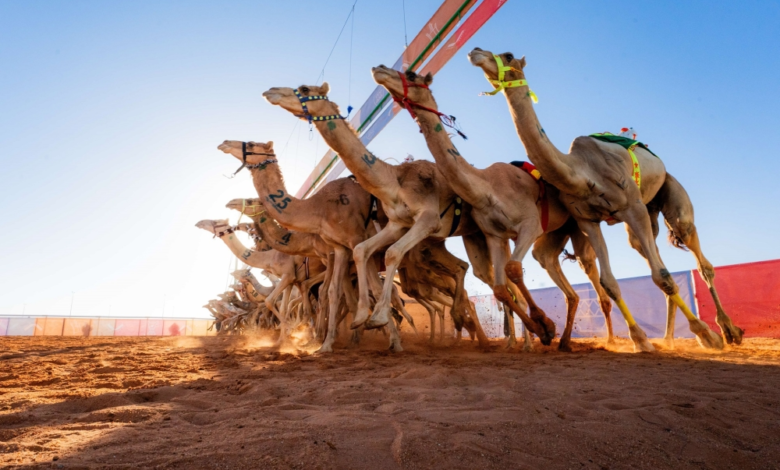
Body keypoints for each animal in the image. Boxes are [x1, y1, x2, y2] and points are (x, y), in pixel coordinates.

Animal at [263, 83, 499, 348]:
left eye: (304, 88)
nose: (271, 91)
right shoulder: (347, 248)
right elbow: (340, 283)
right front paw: (349, 329)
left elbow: (364, 279)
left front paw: (375, 326)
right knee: (467, 271)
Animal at [373, 65, 614, 351]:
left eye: (411, 75)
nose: (379, 69)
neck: (485, 188)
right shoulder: (495, 234)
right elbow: (501, 287)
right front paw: (542, 329)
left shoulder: (529, 224)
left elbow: (512, 270)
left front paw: (543, 326)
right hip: (555, 233)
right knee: (557, 273)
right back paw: (564, 340)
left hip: (577, 222)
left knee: (591, 269)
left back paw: (613, 338)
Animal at [468, 48, 737, 351]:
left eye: (508, 54)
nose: (476, 52)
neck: (582, 174)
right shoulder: (588, 220)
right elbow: (611, 281)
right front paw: (640, 339)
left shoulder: (630, 206)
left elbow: (661, 276)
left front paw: (708, 336)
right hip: (647, 211)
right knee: (648, 251)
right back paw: (669, 338)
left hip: (667, 193)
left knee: (696, 253)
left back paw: (727, 331)